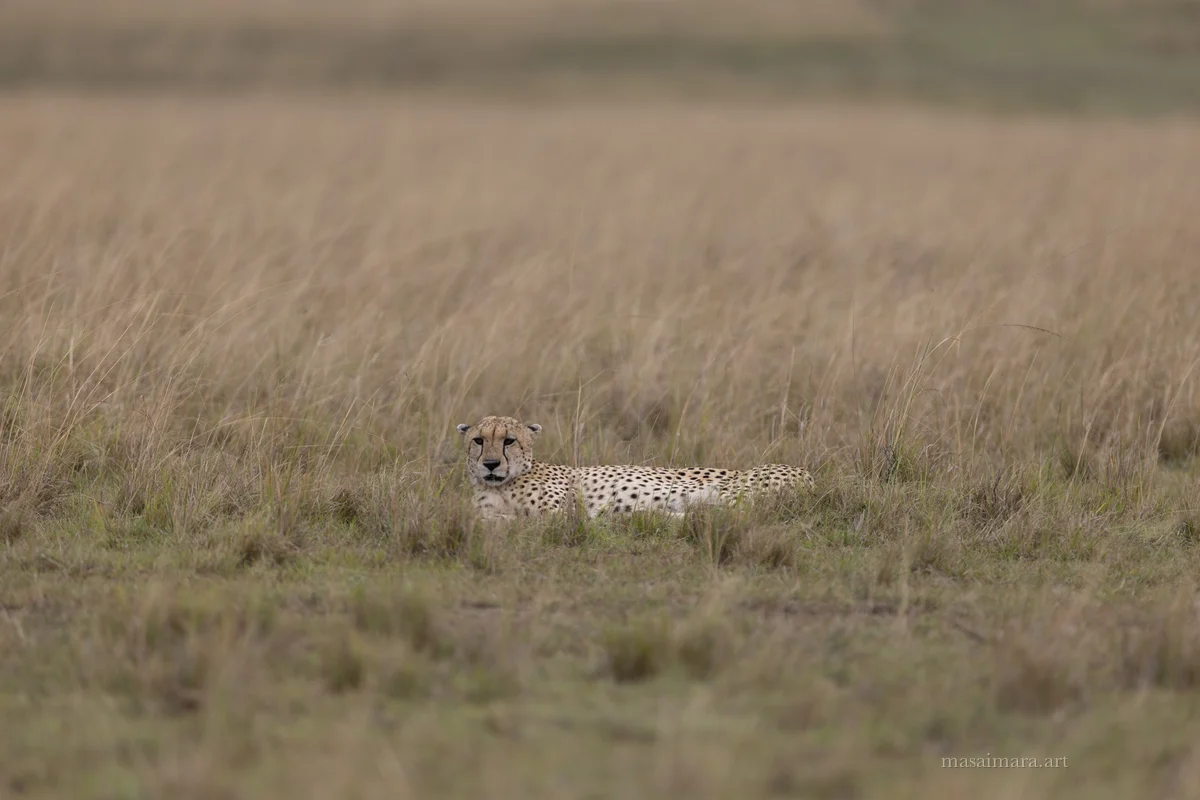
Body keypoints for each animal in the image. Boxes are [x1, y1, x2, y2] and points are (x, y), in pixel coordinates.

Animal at [455, 414, 815, 520]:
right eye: (479, 441)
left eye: (509, 441)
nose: (490, 464)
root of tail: (809, 477)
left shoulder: (558, 513)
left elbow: (523, 520)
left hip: (728, 493)